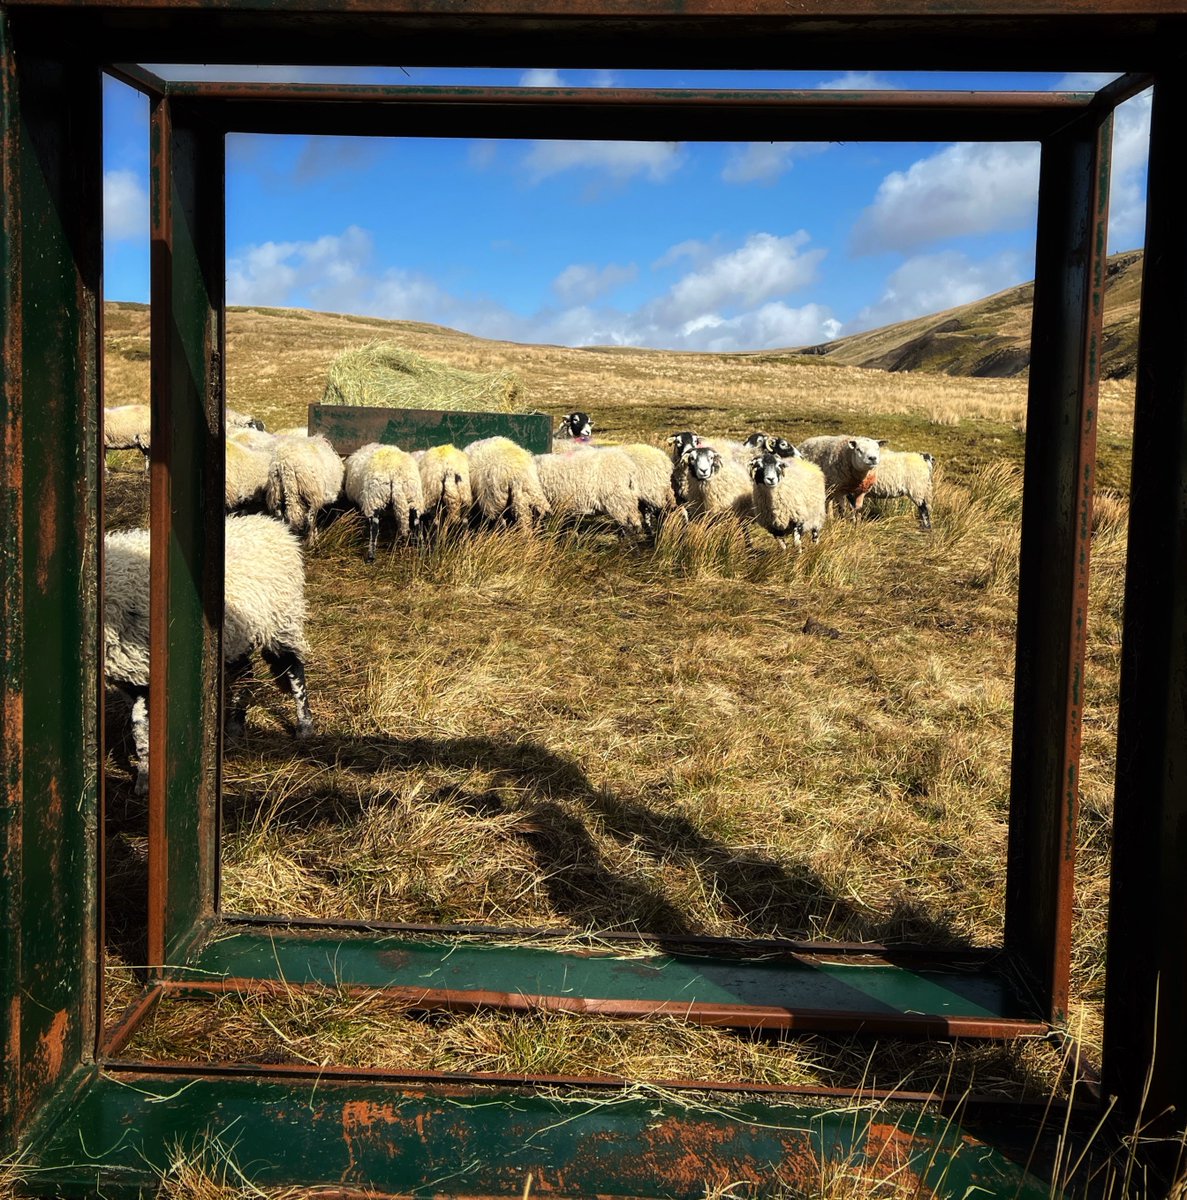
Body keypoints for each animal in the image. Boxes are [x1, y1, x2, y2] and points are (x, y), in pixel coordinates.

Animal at [104, 511, 312, 792]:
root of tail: (272, 525)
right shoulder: (132, 675)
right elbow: (141, 728)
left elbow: (143, 731)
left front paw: (146, 780)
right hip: (238, 633)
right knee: (244, 672)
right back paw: (234, 727)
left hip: (283, 620)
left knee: (294, 670)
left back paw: (305, 726)